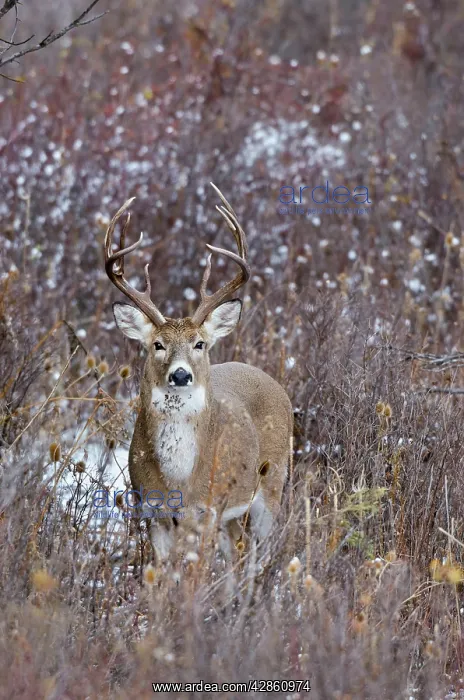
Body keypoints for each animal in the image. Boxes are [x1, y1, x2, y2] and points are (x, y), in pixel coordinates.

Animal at [104, 183, 293, 561]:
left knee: (260, 554)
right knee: (237, 554)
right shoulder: (153, 512)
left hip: (272, 484)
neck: (181, 479)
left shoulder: (206, 510)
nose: (180, 375)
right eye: (157, 344)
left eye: (200, 344)